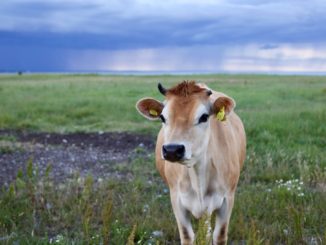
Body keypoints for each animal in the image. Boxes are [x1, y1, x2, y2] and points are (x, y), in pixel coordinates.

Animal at [134, 81, 244, 244]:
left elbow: (220, 235)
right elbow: (187, 235)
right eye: (162, 117)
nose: (172, 150)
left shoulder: (227, 199)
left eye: (204, 117)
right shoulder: (176, 200)